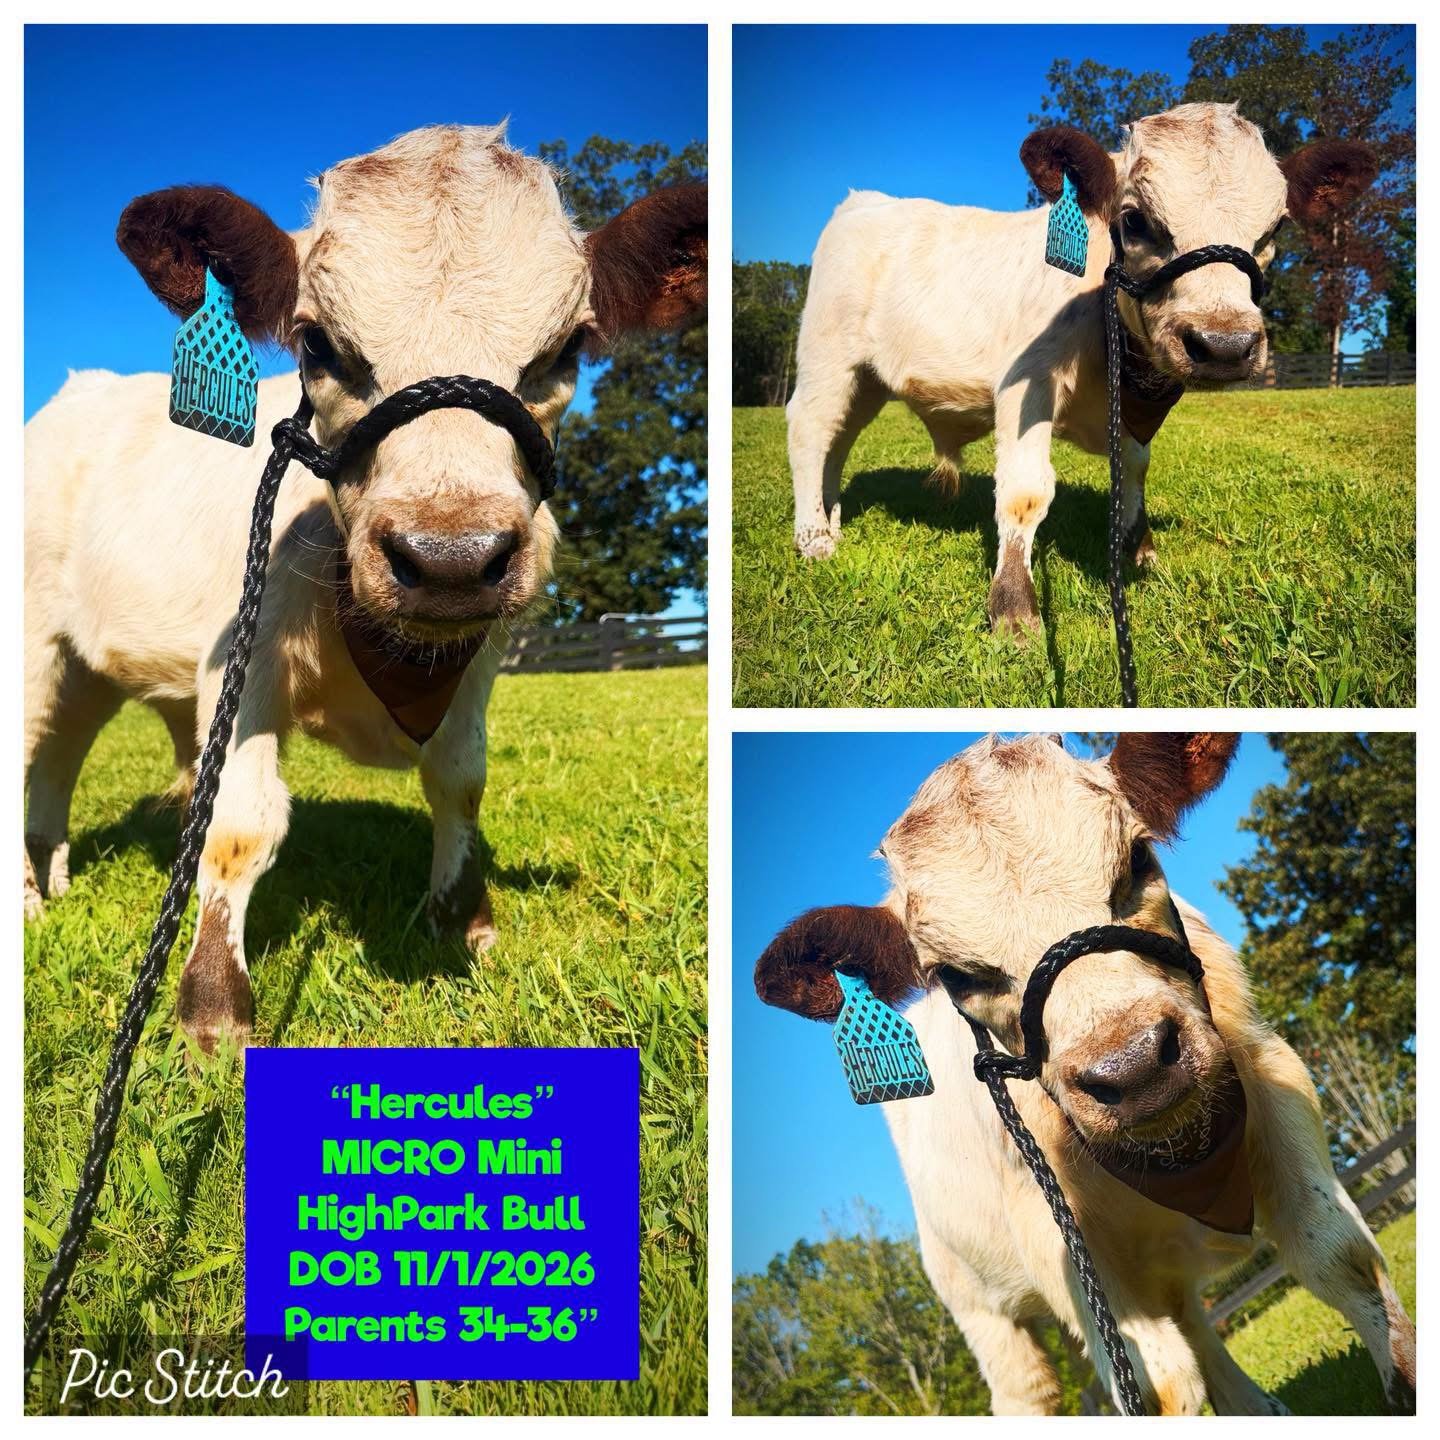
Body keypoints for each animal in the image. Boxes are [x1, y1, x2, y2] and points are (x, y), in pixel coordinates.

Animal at [24, 123, 707, 1052]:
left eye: (567, 348)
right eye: (317, 344)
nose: (450, 556)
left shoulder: (481, 657)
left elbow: (459, 779)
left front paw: (460, 921)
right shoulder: (240, 667)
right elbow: (239, 825)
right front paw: (212, 1006)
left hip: (89, 664)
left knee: (59, 754)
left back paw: (52, 877)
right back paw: (27, 903)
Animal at [754, 733, 1415, 1415]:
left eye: (1137, 859)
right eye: (956, 975)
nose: (1134, 1065)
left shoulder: (1272, 1077)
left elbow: (1336, 1253)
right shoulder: (1053, 1236)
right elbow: (1156, 1384)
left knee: (1196, 1328)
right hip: (976, 1304)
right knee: (1031, 1391)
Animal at [786, 103, 1376, 634]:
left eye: (1275, 228)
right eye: (1134, 220)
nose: (1225, 344)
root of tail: (862, 201)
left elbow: (1135, 467)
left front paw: (1139, 548)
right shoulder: (1027, 384)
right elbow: (1025, 490)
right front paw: (1013, 604)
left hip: (867, 381)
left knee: (839, 441)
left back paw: (831, 520)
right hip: (825, 356)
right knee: (810, 430)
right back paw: (813, 539)